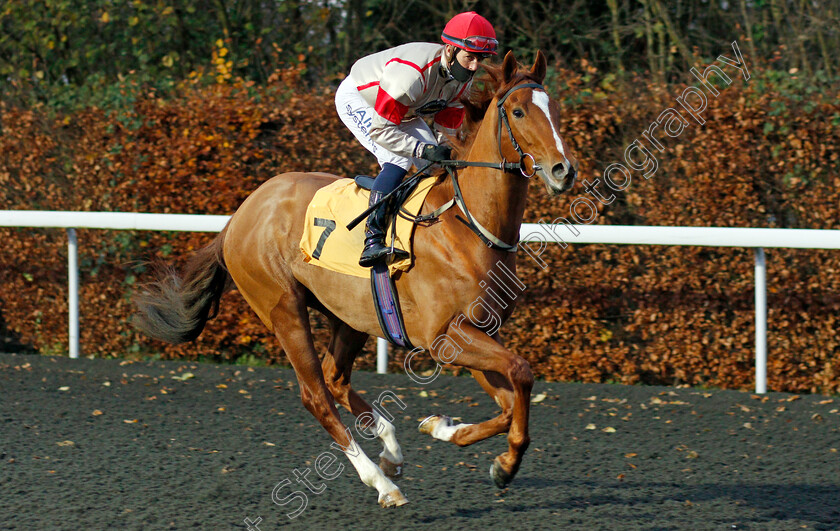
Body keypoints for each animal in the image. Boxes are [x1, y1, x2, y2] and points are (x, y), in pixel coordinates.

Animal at [135, 51, 576, 512]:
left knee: (335, 379)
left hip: (347, 315)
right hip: (284, 310)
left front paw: (446, 429)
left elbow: (509, 402)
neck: (467, 223)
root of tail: (239, 216)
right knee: (316, 395)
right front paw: (504, 463)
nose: (563, 170)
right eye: (518, 111)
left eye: (556, 109)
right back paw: (381, 483)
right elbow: (522, 372)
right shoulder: (444, 336)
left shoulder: (475, 332)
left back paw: (391, 451)